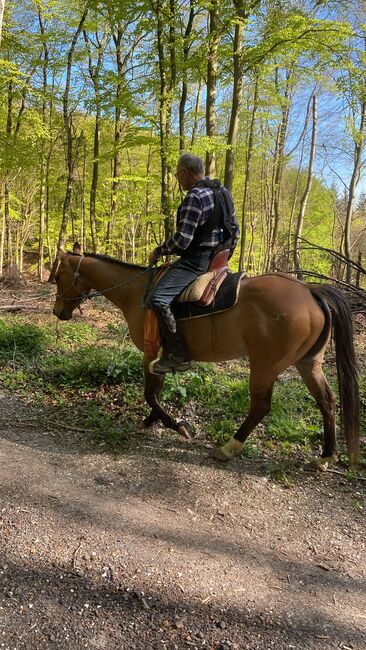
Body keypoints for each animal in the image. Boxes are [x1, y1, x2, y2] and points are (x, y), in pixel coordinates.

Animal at [52, 248, 360, 466]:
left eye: (57, 277)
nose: (58, 312)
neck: (135, 292)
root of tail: (311, 290)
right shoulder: (160, 356)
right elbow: (155, 392)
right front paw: (152, 421)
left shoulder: (150, 353)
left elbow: (150, 393)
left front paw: (176, 425)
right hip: (308, 363)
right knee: (326, 400)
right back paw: (325, 456)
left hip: (265, 365)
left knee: (260, 406)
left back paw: (229, 447)